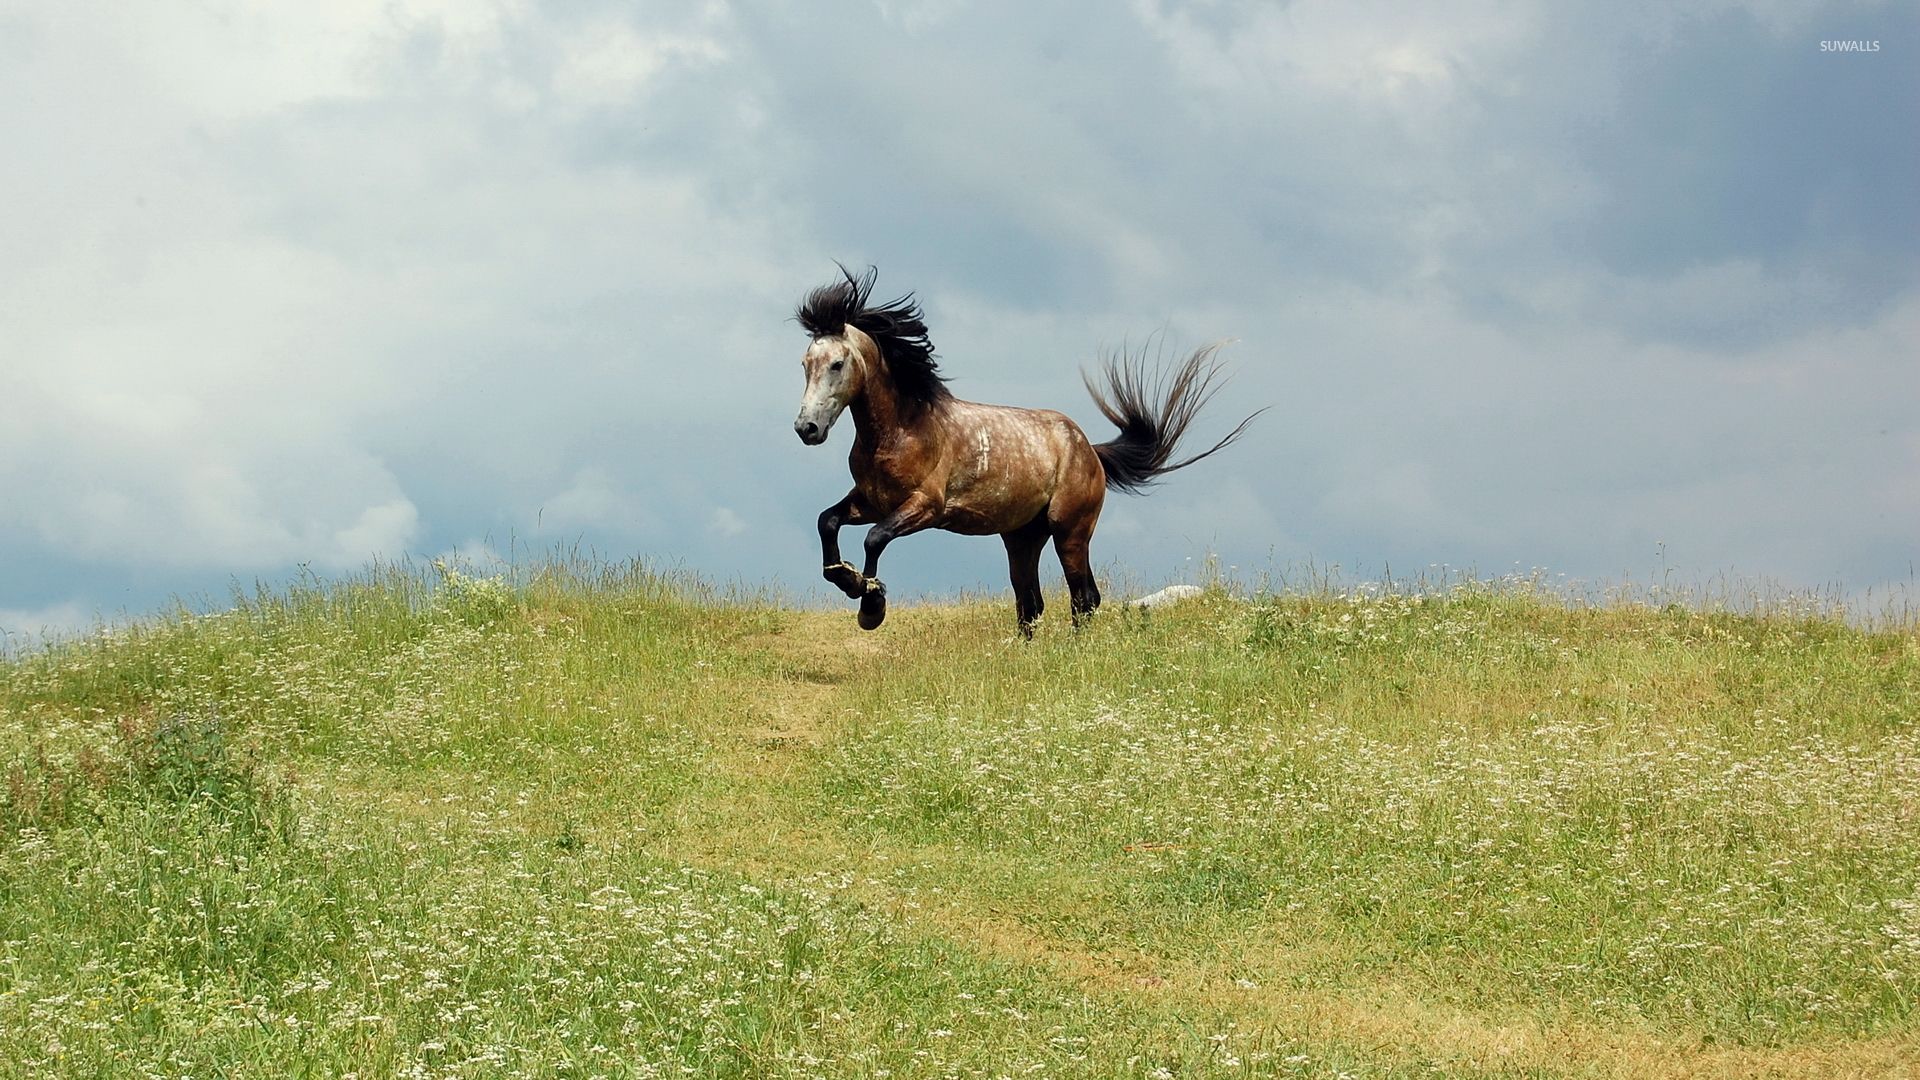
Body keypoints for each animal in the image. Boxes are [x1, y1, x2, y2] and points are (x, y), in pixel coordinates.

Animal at [792, 266, 1261, 637]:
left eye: (837, 364)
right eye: (804, 364)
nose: (806, 428)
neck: (903, 429)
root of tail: (1088, 449)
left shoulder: (925, 506)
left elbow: (874, 538)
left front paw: (870, 603)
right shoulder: (871, 500)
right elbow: (827, 521)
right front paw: (846, 580)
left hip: (1070, 530)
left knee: (1083, 597)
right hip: (1022, 537)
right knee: (1031, 603)